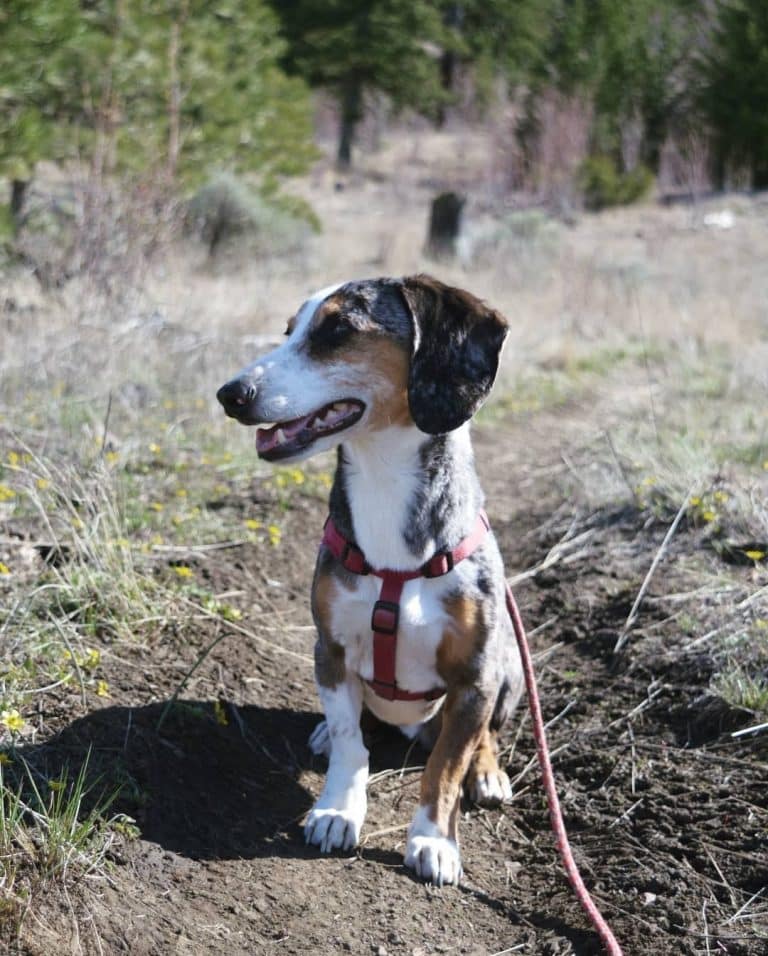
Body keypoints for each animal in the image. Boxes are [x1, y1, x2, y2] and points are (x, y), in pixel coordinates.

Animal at [219, 276, 524, 888]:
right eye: (289, 329)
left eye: (338, 329)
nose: (230, 393)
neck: (385, 482)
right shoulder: (331, 648)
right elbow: (348, 743)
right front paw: (338, 809)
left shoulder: (475, 676)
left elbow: (445, 767)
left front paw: (433, 839)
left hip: (509, 671)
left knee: (484, 736)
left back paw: (488, 772)